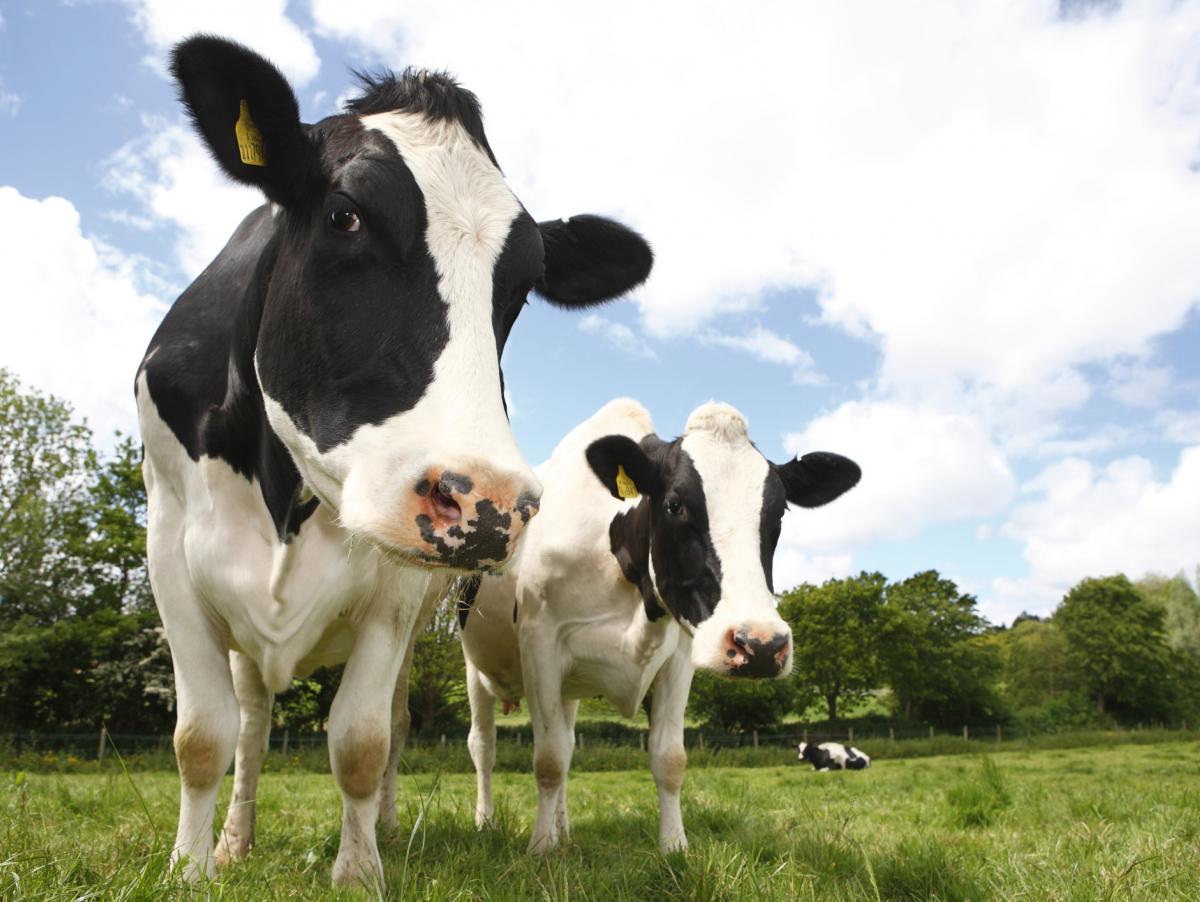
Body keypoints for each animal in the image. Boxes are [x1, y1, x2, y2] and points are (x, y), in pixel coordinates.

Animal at [136, 36, 653, 888]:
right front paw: (189, 870)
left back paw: (383, 823)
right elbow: (204, 736)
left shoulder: (397, 587)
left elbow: (362, 739)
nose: (488, 503)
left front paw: (359, 872)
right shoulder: (172, 550)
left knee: (395, 725)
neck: (285, 491)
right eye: (345, 216)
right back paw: (236, 839)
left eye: (521, 284)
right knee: (254, 722)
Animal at [456, 398, 861, 853]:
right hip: (475, 669)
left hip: (568, 690)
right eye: (674, 505)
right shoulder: (539, 642)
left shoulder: (680, 656)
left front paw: (674, 846)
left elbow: (669, 758)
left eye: (779, 512)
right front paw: (540, 849)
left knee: (567, 741)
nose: (760, 645)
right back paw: (488, 823)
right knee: (484, 746)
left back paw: (564, 829)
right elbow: (548, 760)